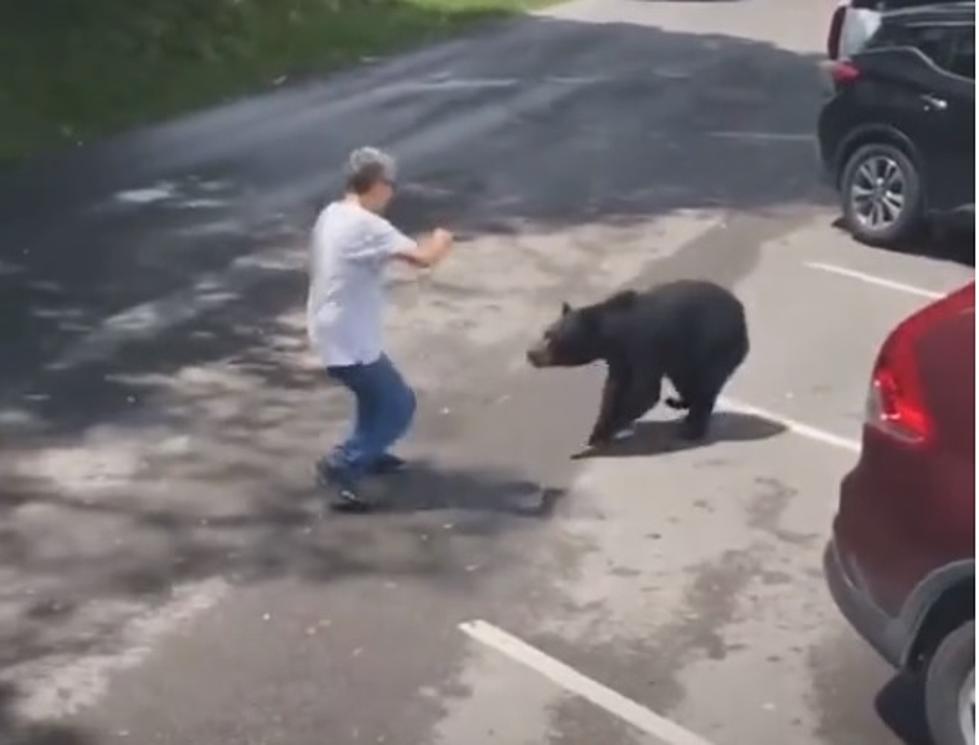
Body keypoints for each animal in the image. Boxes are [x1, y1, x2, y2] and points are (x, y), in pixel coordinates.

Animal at [528, 278, 752, 442]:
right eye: (546, 332)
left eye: (552, 339)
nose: (531, 353)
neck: (613, 335)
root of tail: (742, 317)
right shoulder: (620, 358)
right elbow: (614, 388)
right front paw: (600, 426)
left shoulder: (645, 347)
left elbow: (644, 390)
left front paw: (604, 432)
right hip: (687, 357)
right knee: (687, 383)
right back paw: (681, 405)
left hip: (712, 347)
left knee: (705, 385)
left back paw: (691, 429)